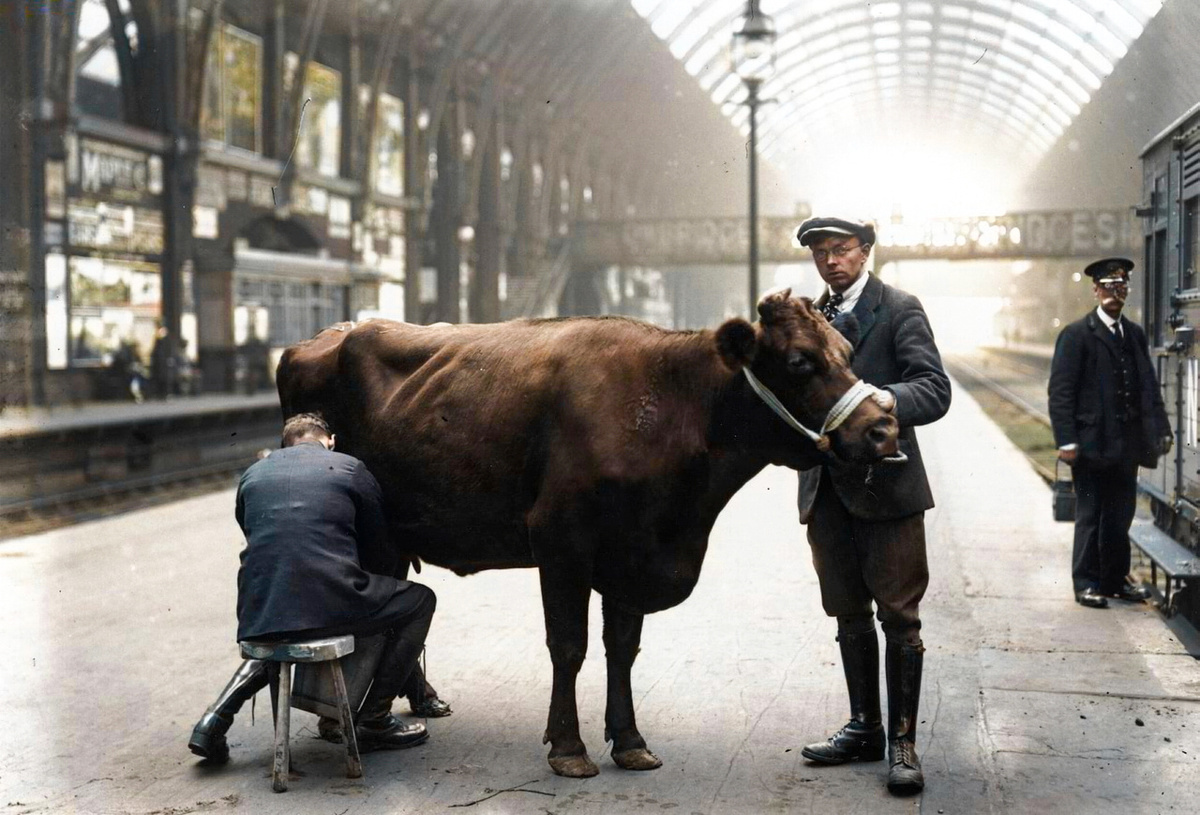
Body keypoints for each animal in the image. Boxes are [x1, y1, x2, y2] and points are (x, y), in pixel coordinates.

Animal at [276, 288, 897, 777]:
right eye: (799, 361)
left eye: (846, 353)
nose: (884, 428)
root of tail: (334, 332)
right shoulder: (562, 544)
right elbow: (569, 646)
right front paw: (568, 748)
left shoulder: (633, 553)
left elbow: (622, 649)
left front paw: (630, 741)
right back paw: (352, 722)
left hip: (391, 534)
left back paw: (410, 705)